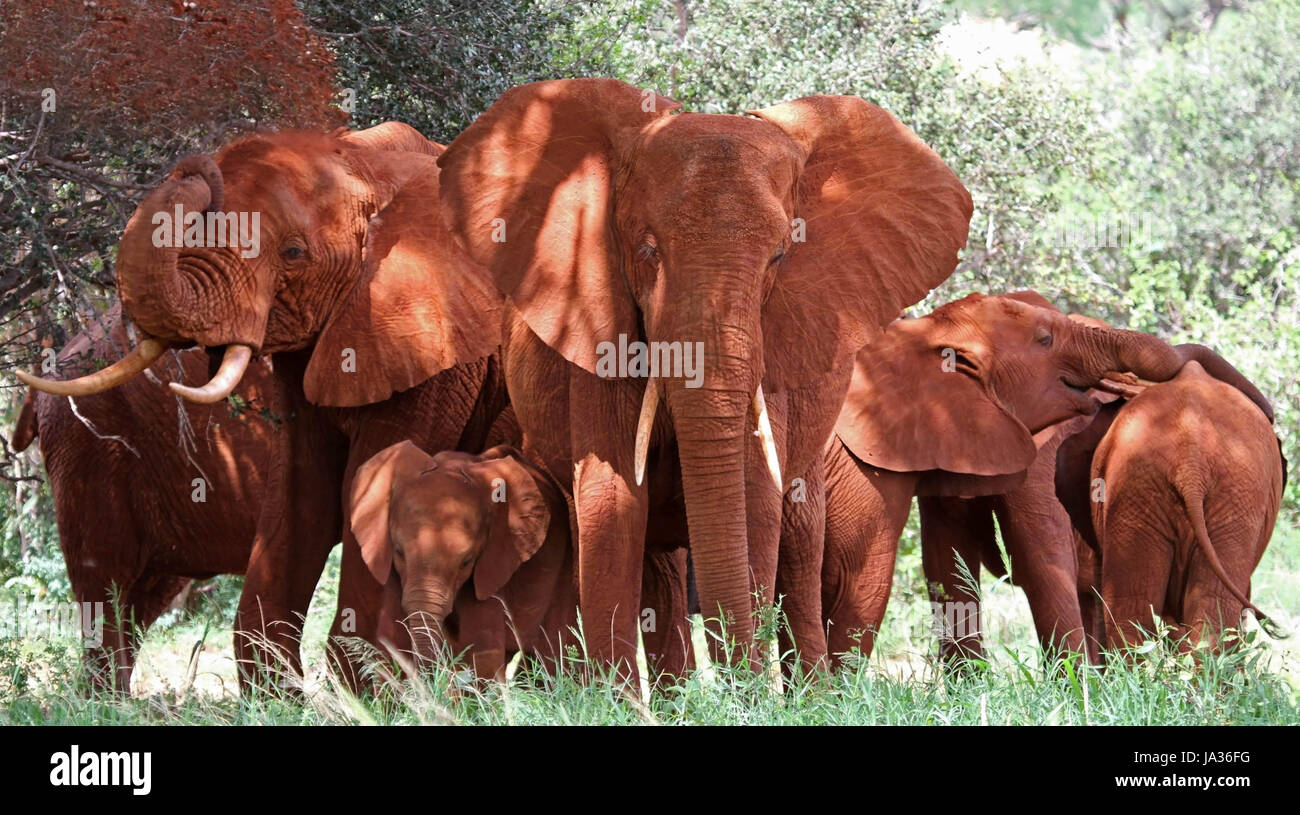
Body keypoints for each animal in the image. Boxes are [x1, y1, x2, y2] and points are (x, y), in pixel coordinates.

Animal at [435, 77, 975, 678]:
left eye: (779, 256)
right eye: (647, 250)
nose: (742, 684)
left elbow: (754, 501)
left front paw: (753, 691)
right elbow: (613, 499)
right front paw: (614, 696)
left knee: (798, 543)